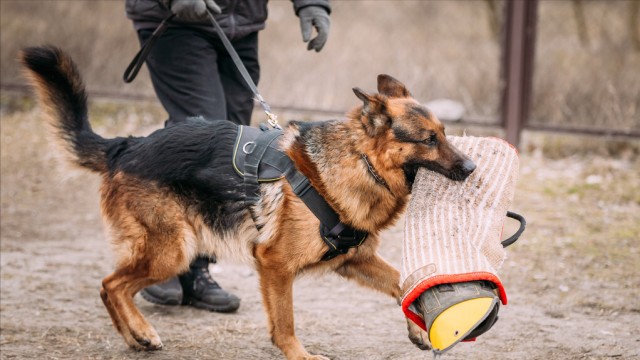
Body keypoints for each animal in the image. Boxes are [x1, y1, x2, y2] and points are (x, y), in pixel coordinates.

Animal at [21, 46, 476, 358]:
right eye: (428, 140)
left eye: (444, 133)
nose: (471, 168)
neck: (359, 161)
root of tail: (127, 145)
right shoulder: (275, 265)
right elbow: (285, 322)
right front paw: (300, 355)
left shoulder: (354, 260)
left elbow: (405, 283)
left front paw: (418, 327)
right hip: (173, 251)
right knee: (110, 284)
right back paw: (142, 332)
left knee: (112, 286)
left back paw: (135, 337)